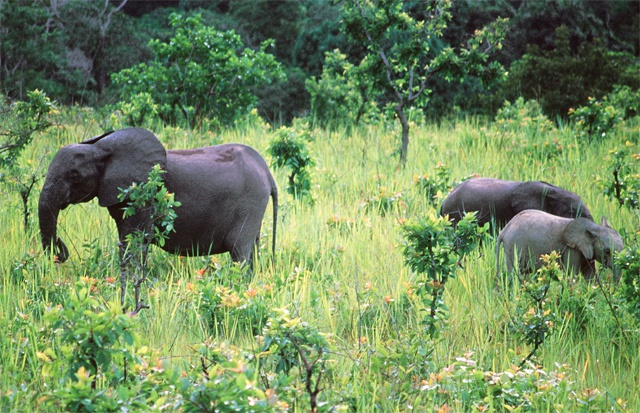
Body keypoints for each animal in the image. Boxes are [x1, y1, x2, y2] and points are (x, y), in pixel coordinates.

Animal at [38, 126, 278, 268]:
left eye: (74, 175)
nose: (61, 251)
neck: (99, 148)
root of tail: (266, 171)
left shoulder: (143, 195)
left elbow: (135, 239)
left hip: (250, 202)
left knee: (240, 251)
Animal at [492, 209, 624, 276]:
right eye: (607, 251)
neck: (594, 227)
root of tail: (505, 230)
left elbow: (590, 276)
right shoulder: (572, 249)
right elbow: (572, 275)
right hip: (513, 245)